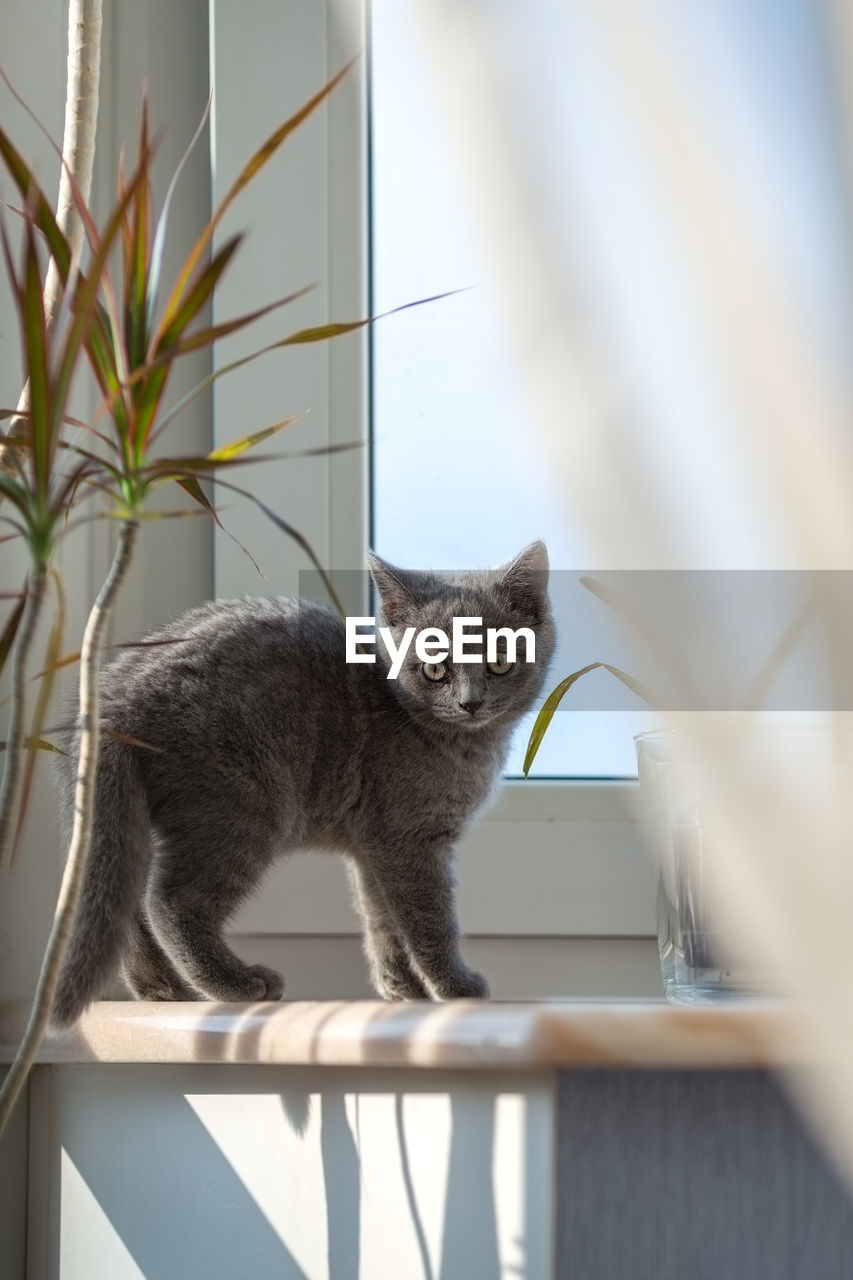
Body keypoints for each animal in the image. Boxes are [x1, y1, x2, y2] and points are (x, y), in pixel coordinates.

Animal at [49, 542, 550, 1029]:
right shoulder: (410, 841)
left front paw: (403, 989)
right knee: (168, 902)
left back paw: (163, 988)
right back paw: (235, 983)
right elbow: (430, 920)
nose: (471, 702)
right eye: (434, 670)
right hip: (242, 805)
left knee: (128, 907)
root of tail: (115, 696)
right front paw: (454, 987)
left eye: (499, 662)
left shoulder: (374, 845)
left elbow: (382, 920)